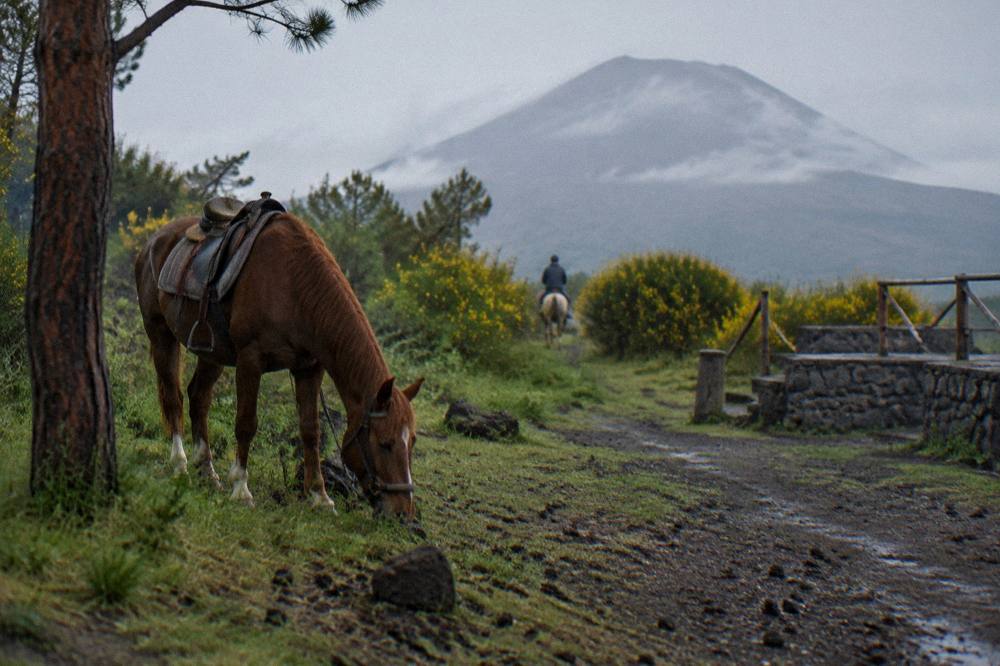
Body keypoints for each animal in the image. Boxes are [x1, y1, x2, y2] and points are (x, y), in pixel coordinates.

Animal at [134, 211, 423, 518]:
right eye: (385, 443)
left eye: (412, 442)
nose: (403, 512)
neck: (295, 285)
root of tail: (153, 241)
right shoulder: (250, 360)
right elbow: (246, 423)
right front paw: (241, 489)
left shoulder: (309, 368)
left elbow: (310, 430)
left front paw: (320, 496)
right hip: (160, 334)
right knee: (173, 398)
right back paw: (181, 465)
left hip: (212, 352)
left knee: (198, 397)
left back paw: (207, 471)